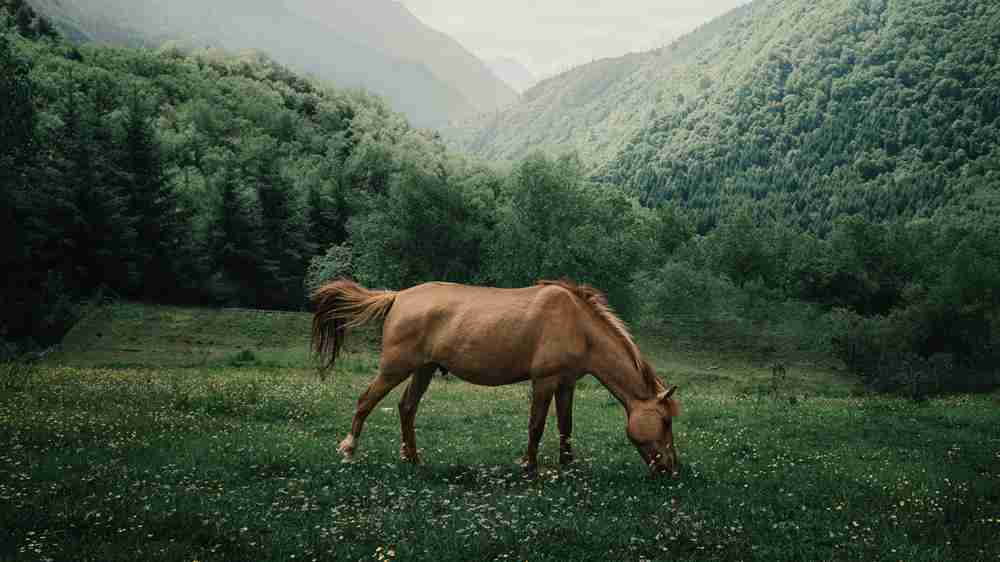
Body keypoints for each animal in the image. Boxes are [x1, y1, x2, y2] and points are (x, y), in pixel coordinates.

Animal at [311, 278, 681, 477]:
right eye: (664, 421)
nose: (671, 468)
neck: (578, 324)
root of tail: (398, 295)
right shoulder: (544, 381)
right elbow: (537, 425)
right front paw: (530, 467)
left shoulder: (566, 383)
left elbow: (565, 426)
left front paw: (568, 466)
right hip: (395, 368)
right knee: (366, 401)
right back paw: (349, 450)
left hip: (424, 369)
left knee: (406, 408)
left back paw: (413, 459)